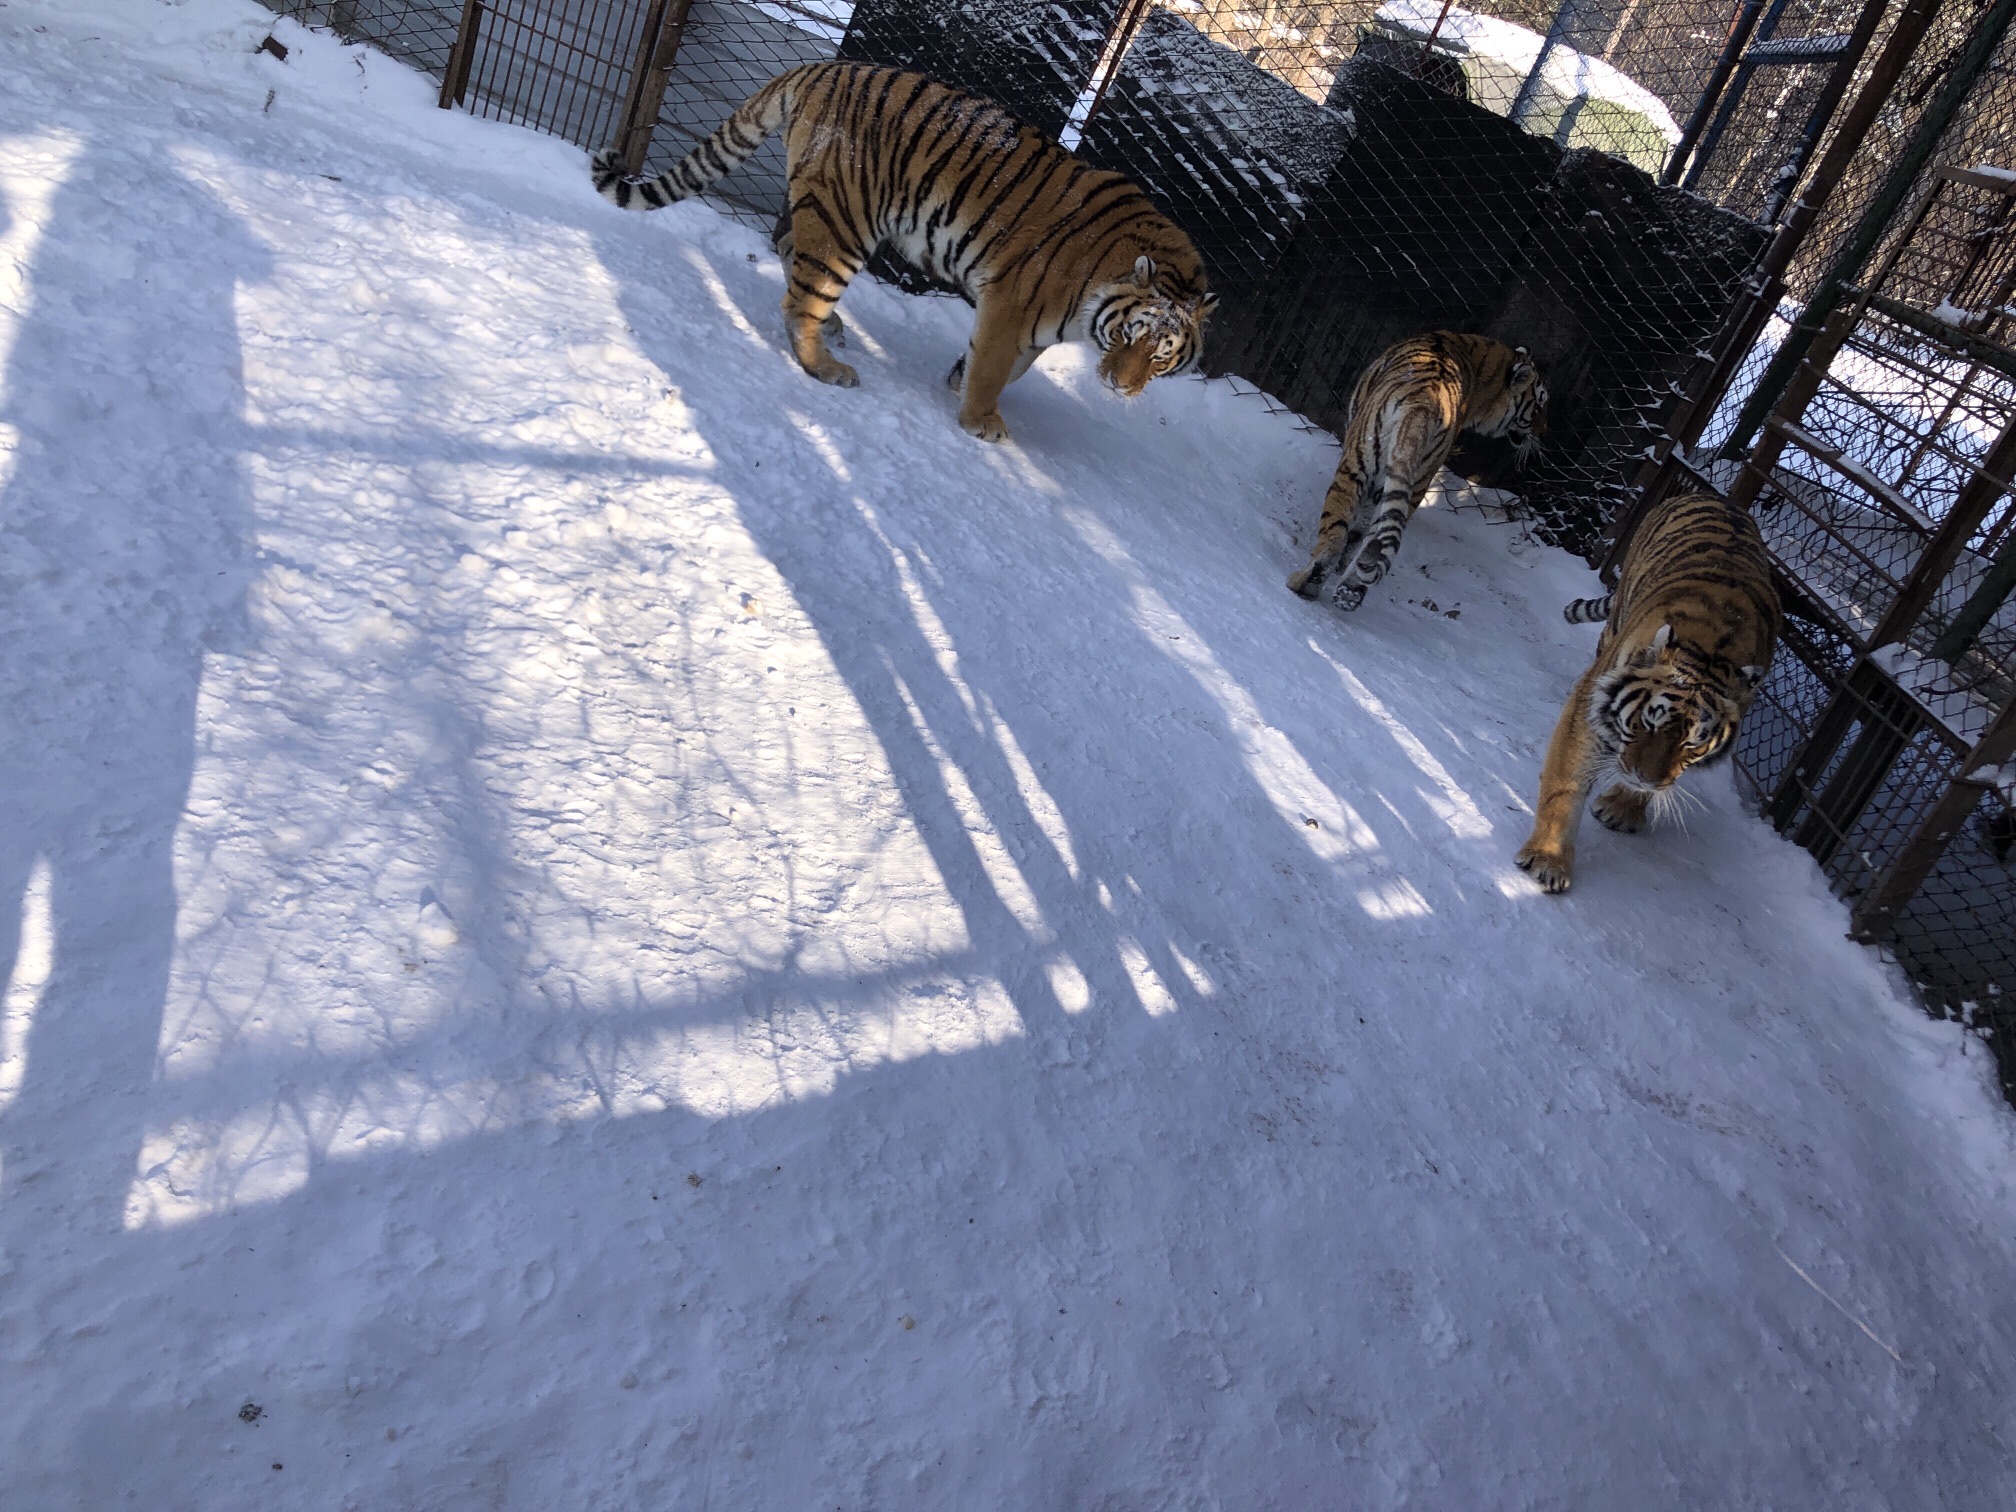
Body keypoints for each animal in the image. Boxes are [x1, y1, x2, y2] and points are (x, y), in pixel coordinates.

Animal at [590, 62, 1216, 443]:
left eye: (1162, 356)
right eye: (1132, 335)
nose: (1121, 386)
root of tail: (821, 66)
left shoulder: (1031, 325)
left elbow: (1009, 367)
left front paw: (957, 380)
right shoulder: (1011, 304)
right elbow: (996, 369)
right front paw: (980, 419)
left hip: (829, 212)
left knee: (790, 247)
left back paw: (836, 328)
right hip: (846, 220)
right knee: (799, 302)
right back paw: (827, 366)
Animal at [1287, 332, 1547, 611]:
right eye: (1539, 408)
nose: (1543, 432)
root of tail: (1424, 404)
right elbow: (1361, 528)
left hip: (1356, 465)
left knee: (1334, 536)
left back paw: (1305, 583)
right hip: (1414, 481)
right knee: (1374, 539)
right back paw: (1350, 591)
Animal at [1514, 491, 1780, 894]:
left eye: (1693, 743)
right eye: (1649, 723)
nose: (1643, 778)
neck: (1710, 653)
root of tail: (1717, 496)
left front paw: (1623, 808)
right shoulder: (1588, 712)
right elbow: (1566, 784)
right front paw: (1548, 859)